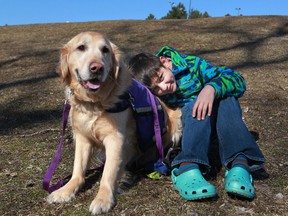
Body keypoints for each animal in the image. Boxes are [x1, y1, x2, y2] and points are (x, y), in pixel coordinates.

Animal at [46, 31, 181, 214]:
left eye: (105, 50)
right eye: (81, 47)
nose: (97, 67)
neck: (94, 104)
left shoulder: (115, 139)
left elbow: (107, 173)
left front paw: (103, 199)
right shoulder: (82, 138)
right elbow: (78, 169)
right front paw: (65, 190)